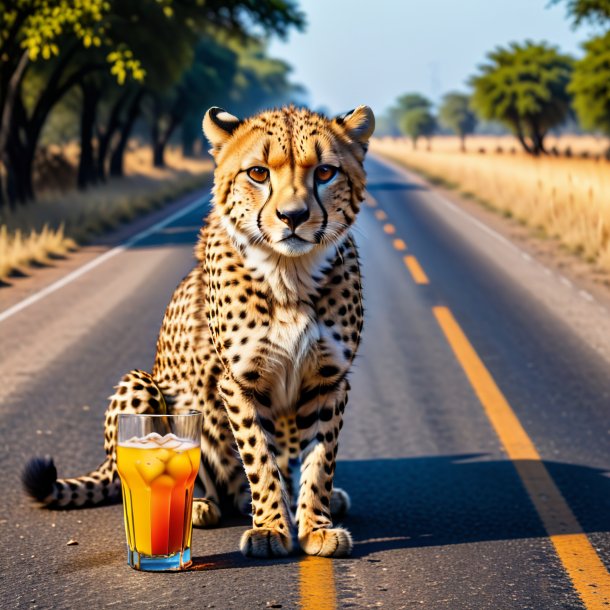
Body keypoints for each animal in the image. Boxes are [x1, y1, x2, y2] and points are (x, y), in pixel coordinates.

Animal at [23, 104, 372, 556]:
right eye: (258, 173)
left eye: (325, 172)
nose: (293, 217)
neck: (290, 272)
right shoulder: (239, 382)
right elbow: (259, 458)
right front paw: (271, 529)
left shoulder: (328, 380)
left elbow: (319, 460)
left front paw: (314, 524)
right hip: (141, 382)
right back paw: (199, 506)